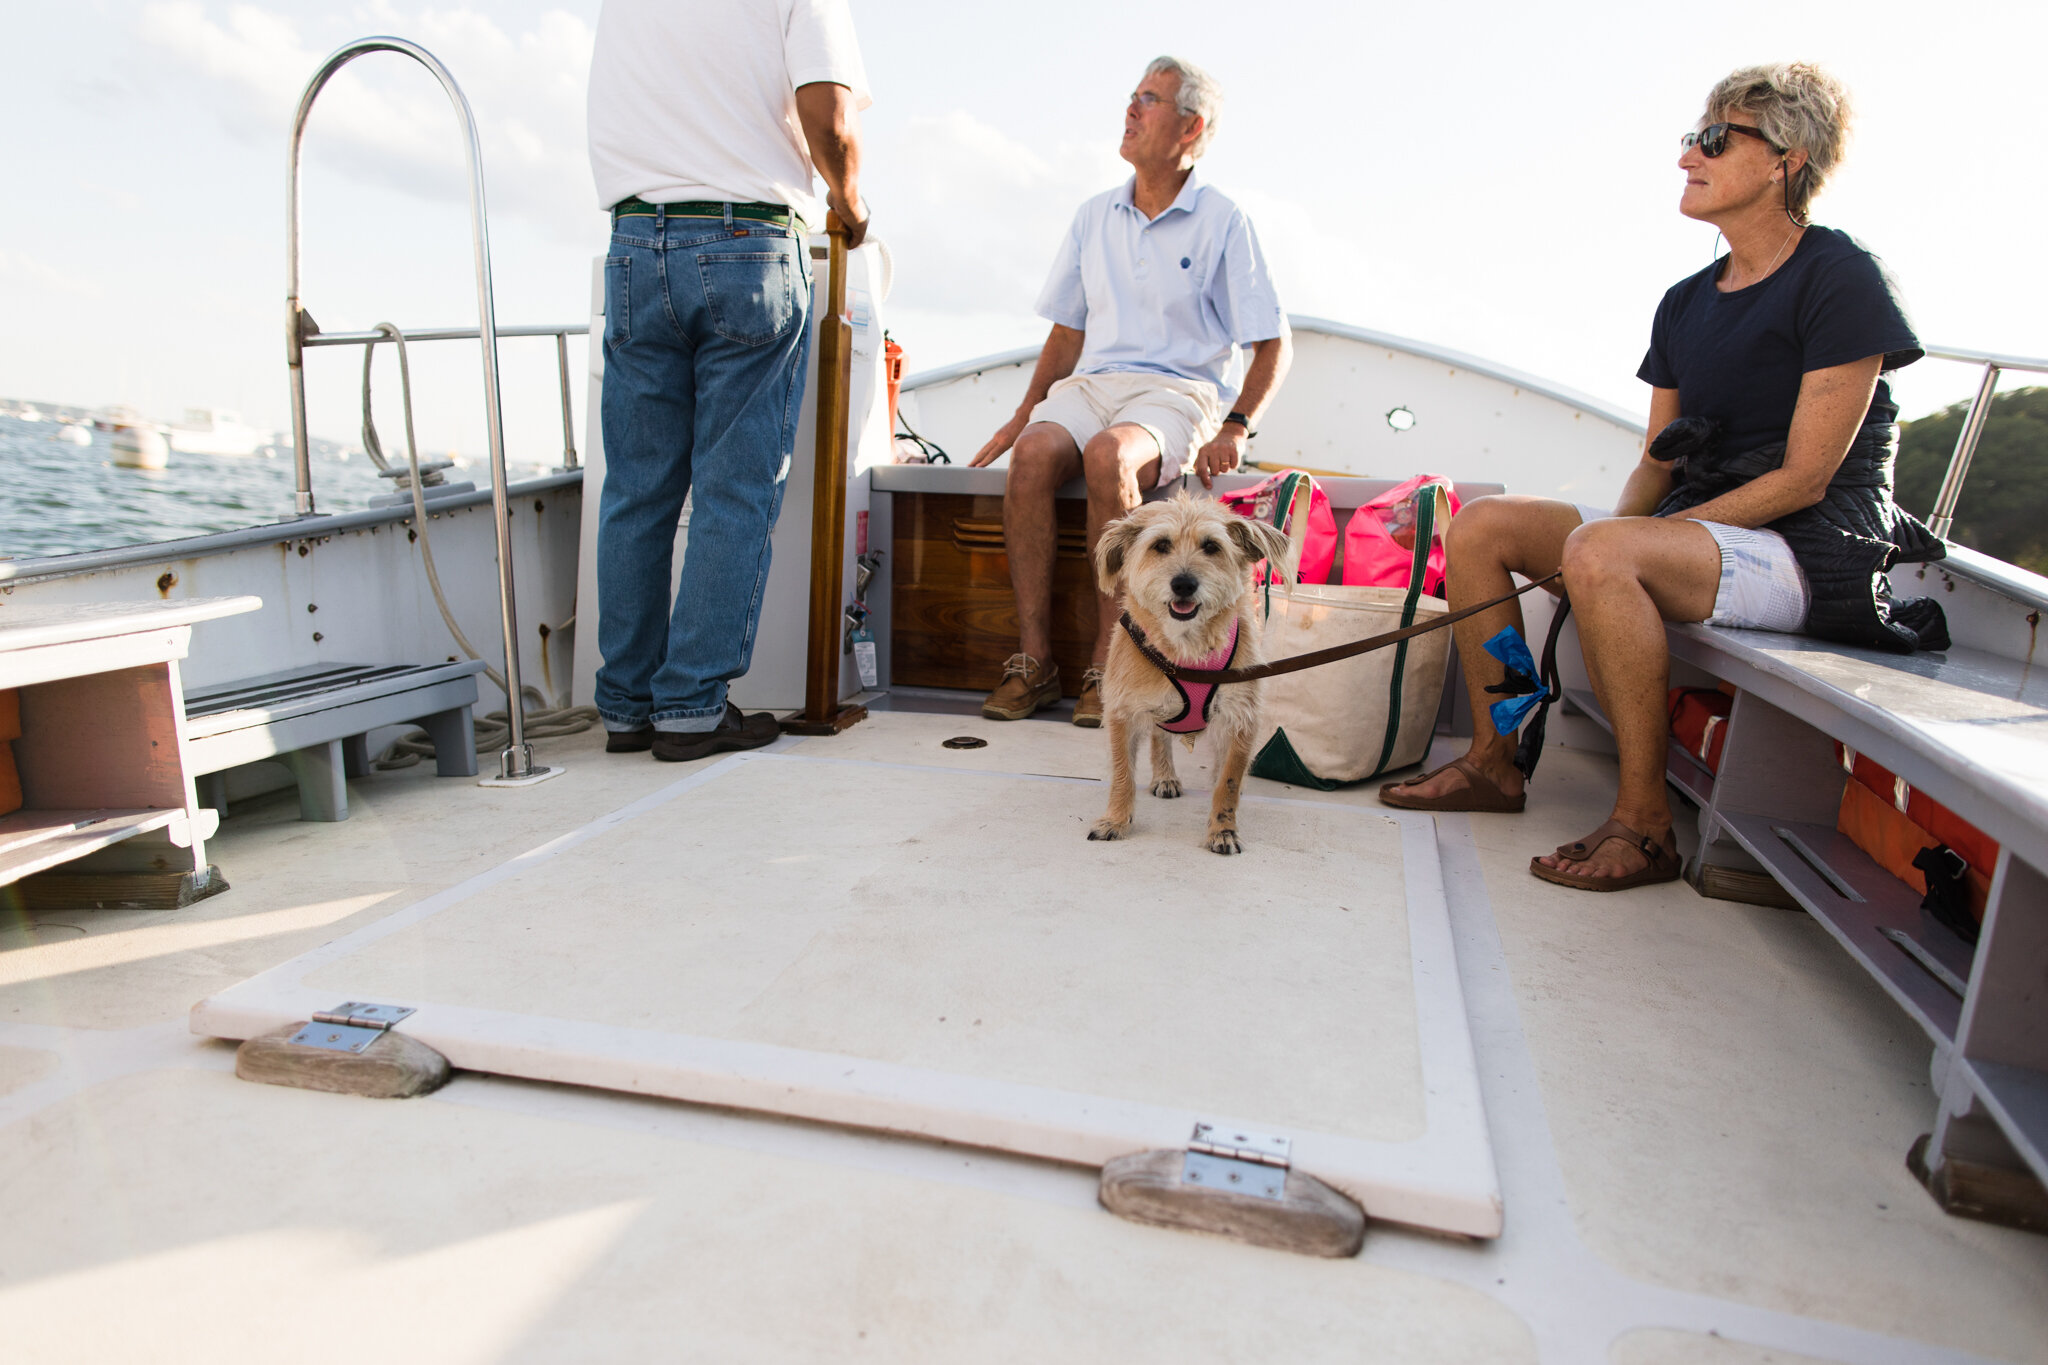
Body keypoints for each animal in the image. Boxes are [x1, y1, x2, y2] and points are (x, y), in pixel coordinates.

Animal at [1089, 491, 1277, 855]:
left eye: (1211, 546)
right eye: (1161, 545)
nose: (1184, 584)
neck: (1186, 647)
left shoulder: (1241, 717)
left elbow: (1228, 781)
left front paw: (1222, 830)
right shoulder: (1123, 711)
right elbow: (1122, 773)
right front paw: (1115, 821)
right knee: (1160, 735)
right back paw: (1164, 776)